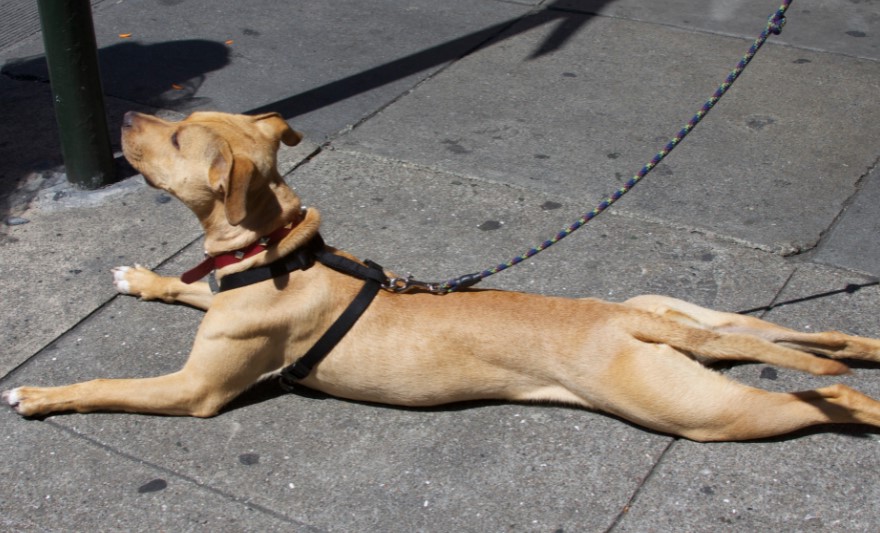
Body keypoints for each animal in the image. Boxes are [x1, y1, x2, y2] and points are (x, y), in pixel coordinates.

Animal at [5, 109, 880, 440]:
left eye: (180, 136)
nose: (126, 116)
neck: (276, 254)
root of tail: (625, 321)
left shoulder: (196, 390)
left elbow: (108, 384)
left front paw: (39, 394)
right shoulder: (221, 297)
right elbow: (190, 285)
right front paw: (142, 277)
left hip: (694, 409)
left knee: (824, 394)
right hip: (684, 313)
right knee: (804, 333)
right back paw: (860, 345)